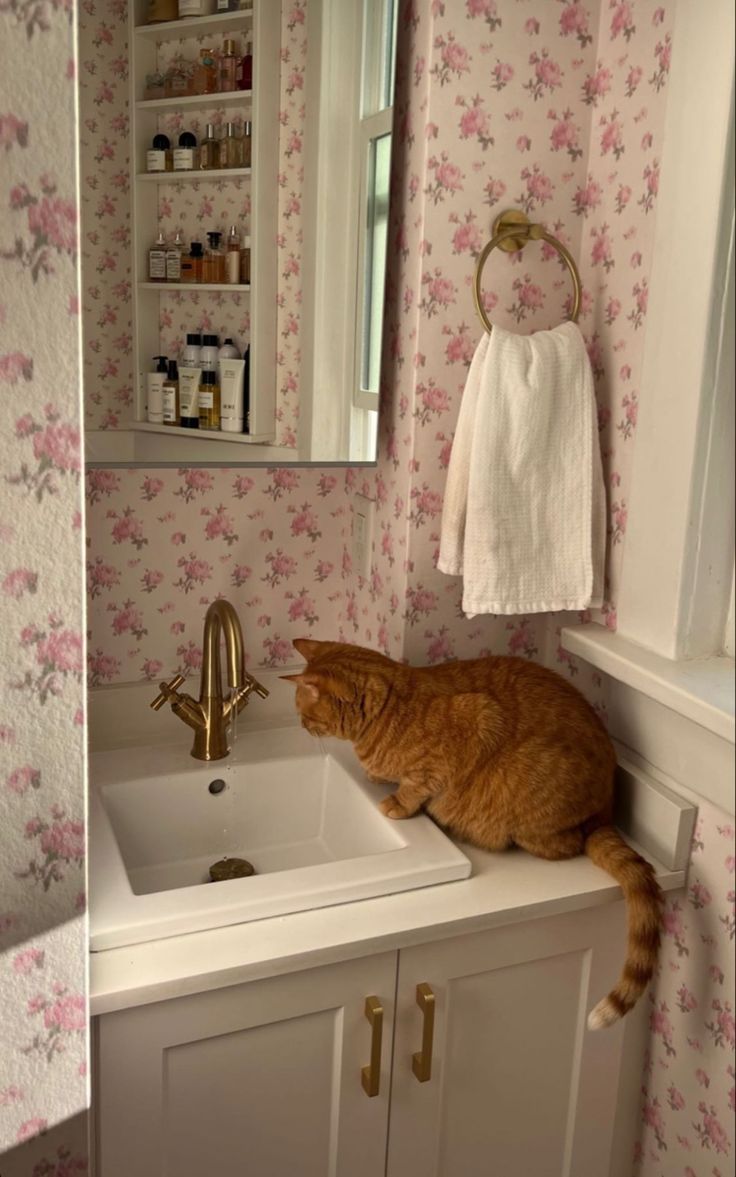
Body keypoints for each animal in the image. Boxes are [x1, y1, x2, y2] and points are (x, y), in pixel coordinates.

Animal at [282, 635, 659, 1031]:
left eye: (304, 712)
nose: (303, 727)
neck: (391, 709)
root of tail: (604, 813)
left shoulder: (472, 725)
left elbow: (416, 786)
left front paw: (398, 802)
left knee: (568, 843)